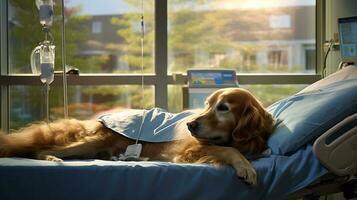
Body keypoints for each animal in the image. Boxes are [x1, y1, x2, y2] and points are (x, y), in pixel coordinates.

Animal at [0, 88, 274, 185]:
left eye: (223, 107)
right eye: (207, 105)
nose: (189, 125)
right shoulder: (187, 150)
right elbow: (228, 149)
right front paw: (245, 167)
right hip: (94, 140)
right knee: (39, 150)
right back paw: (50, 158)